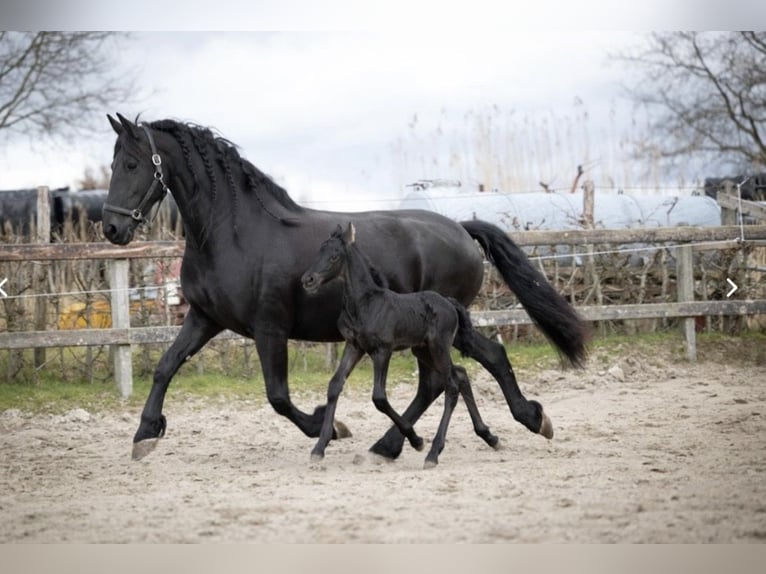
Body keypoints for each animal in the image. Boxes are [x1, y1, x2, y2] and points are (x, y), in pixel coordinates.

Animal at [302, 222, 499, 467]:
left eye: (334, 256)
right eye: (319, 251)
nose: (308, 280)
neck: (365, 303)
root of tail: (450, 303)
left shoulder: (382, 350)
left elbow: (379, 397)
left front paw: (416, 440)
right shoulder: (354, 346)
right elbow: (334, 385)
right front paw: (319, 448)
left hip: (438, 347)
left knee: (451, 386)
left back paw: (433, 453)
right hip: (423, 350)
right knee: (460, 375)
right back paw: (489, 437)